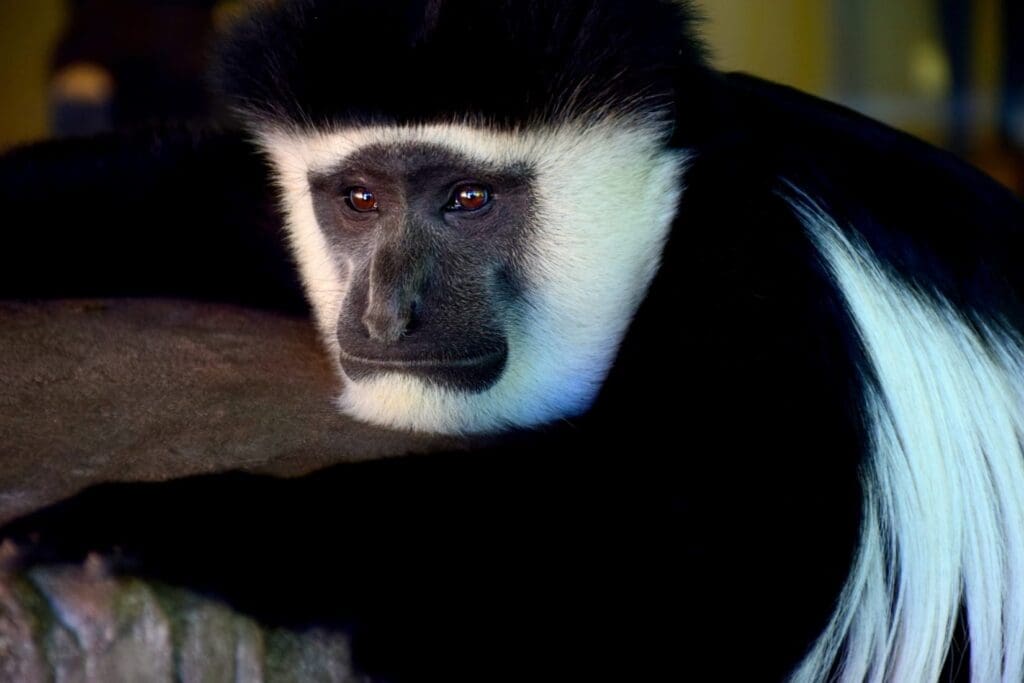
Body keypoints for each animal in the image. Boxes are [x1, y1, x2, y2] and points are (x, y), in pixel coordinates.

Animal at [1, 1, 1024, 681]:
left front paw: (131, 521)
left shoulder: (771, 287)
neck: (682, 195)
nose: (388, 317)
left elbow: (704, 569)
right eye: (359, 199)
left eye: (469, 199)